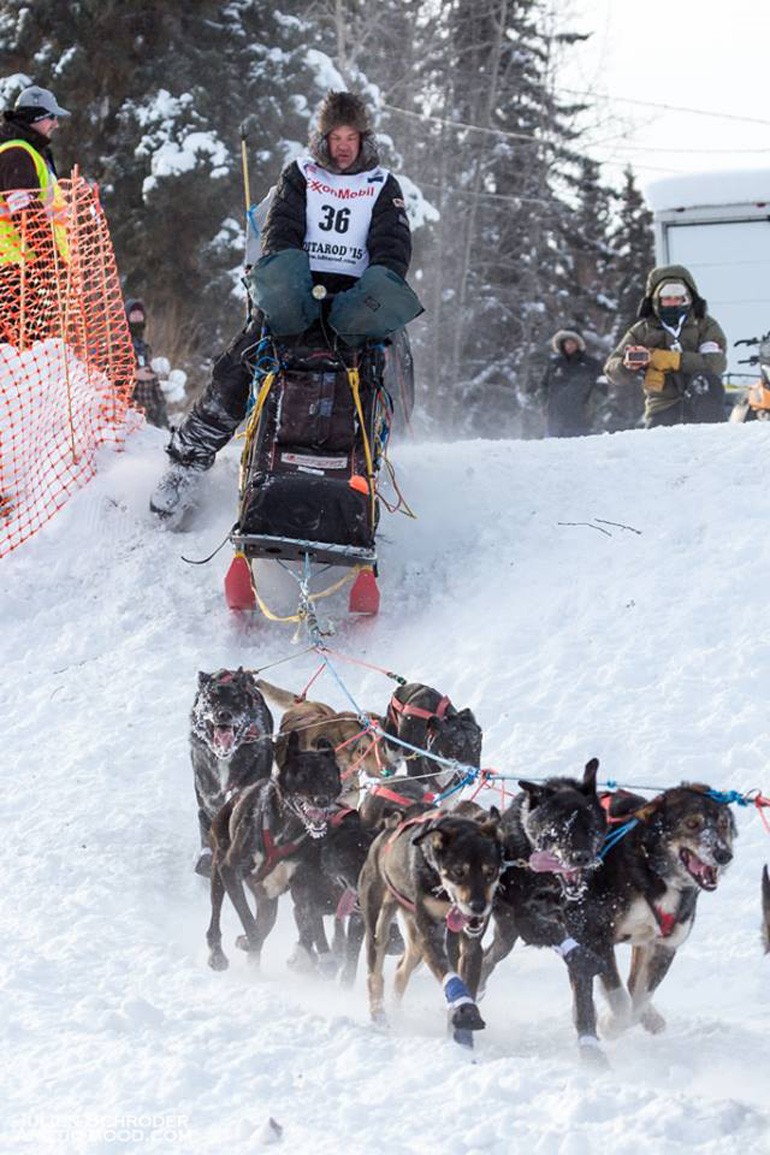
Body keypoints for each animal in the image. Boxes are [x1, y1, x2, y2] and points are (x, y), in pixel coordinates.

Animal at [208, 734, 344, 970]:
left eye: (328, 777)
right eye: (303, 777)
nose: (322, 801)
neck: (287, 828)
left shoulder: (303, 884)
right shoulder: (230, 870)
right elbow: (250, 924)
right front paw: (249, 941)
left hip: (267, 898)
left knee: (267, 921)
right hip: (219, 867)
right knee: (216, 913)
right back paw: (217, 953)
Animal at [357, 803, 503, 1048]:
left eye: (490, 871)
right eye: (459, 871)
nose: (478, 907)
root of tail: (385, 832)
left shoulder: (470, 946)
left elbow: (467, 979)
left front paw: (462, 1035)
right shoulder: (430, 936)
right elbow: (451, 976)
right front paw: (465, 1011)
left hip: (415, 942)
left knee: (401, 971)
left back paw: (397, 1011)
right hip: (378, 924)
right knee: (375, 973)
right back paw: (380, 1017)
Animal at [570, 780, 738, 1044]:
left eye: (723, 824)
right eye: (692, 823)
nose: (724, 855)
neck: (653, 871)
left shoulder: (663, 946)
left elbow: (639, 998)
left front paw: (639, 1016)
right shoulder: (595, 935)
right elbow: (620, 998)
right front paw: (611, 1024)